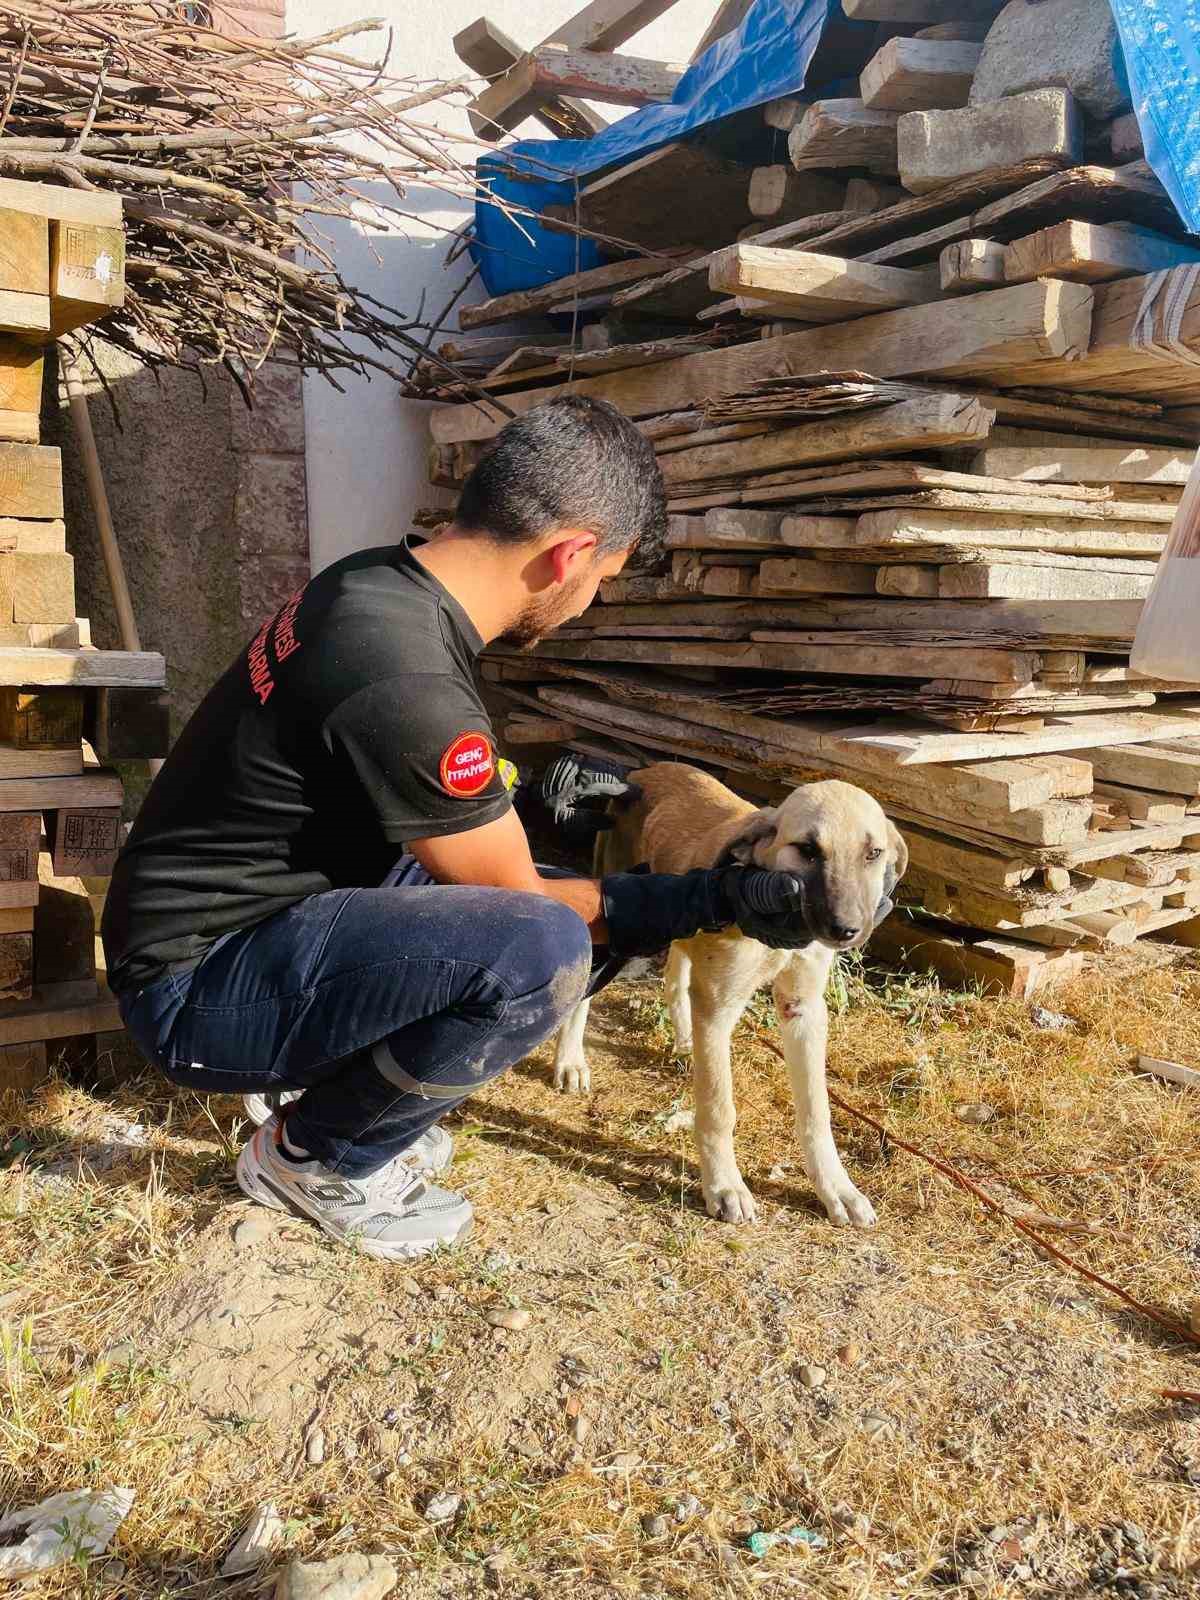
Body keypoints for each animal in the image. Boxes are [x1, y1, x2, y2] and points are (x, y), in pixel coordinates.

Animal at [553, 761, 908, 1222]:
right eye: (807, 850)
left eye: (873, 854)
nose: (846, 930)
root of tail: (641, 774)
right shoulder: (720, 1007)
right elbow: (718, 1108)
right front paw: (724, 1186)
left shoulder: (803, 1009)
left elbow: (817, 1112)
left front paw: (836, 1187)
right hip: (616, 912)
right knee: (588, 990)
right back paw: (570, 1060)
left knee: (676, 976)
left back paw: (685, 1042)